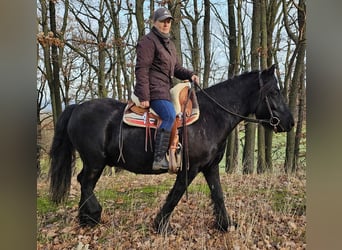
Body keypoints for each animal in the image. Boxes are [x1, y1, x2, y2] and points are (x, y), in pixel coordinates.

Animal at [50, 64, 294, 232]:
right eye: (274, 92)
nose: (290, 122)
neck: (211, 116)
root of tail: (77, 107)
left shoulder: (211, 167)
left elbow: (218, 195)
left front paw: (225, 225)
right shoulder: (190, 168)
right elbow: (175, 196)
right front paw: (161, 225)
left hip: (94, 162)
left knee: (84, 182)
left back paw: (85, 218)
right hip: (95, 161)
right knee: (85, 182)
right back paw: (93, 215)